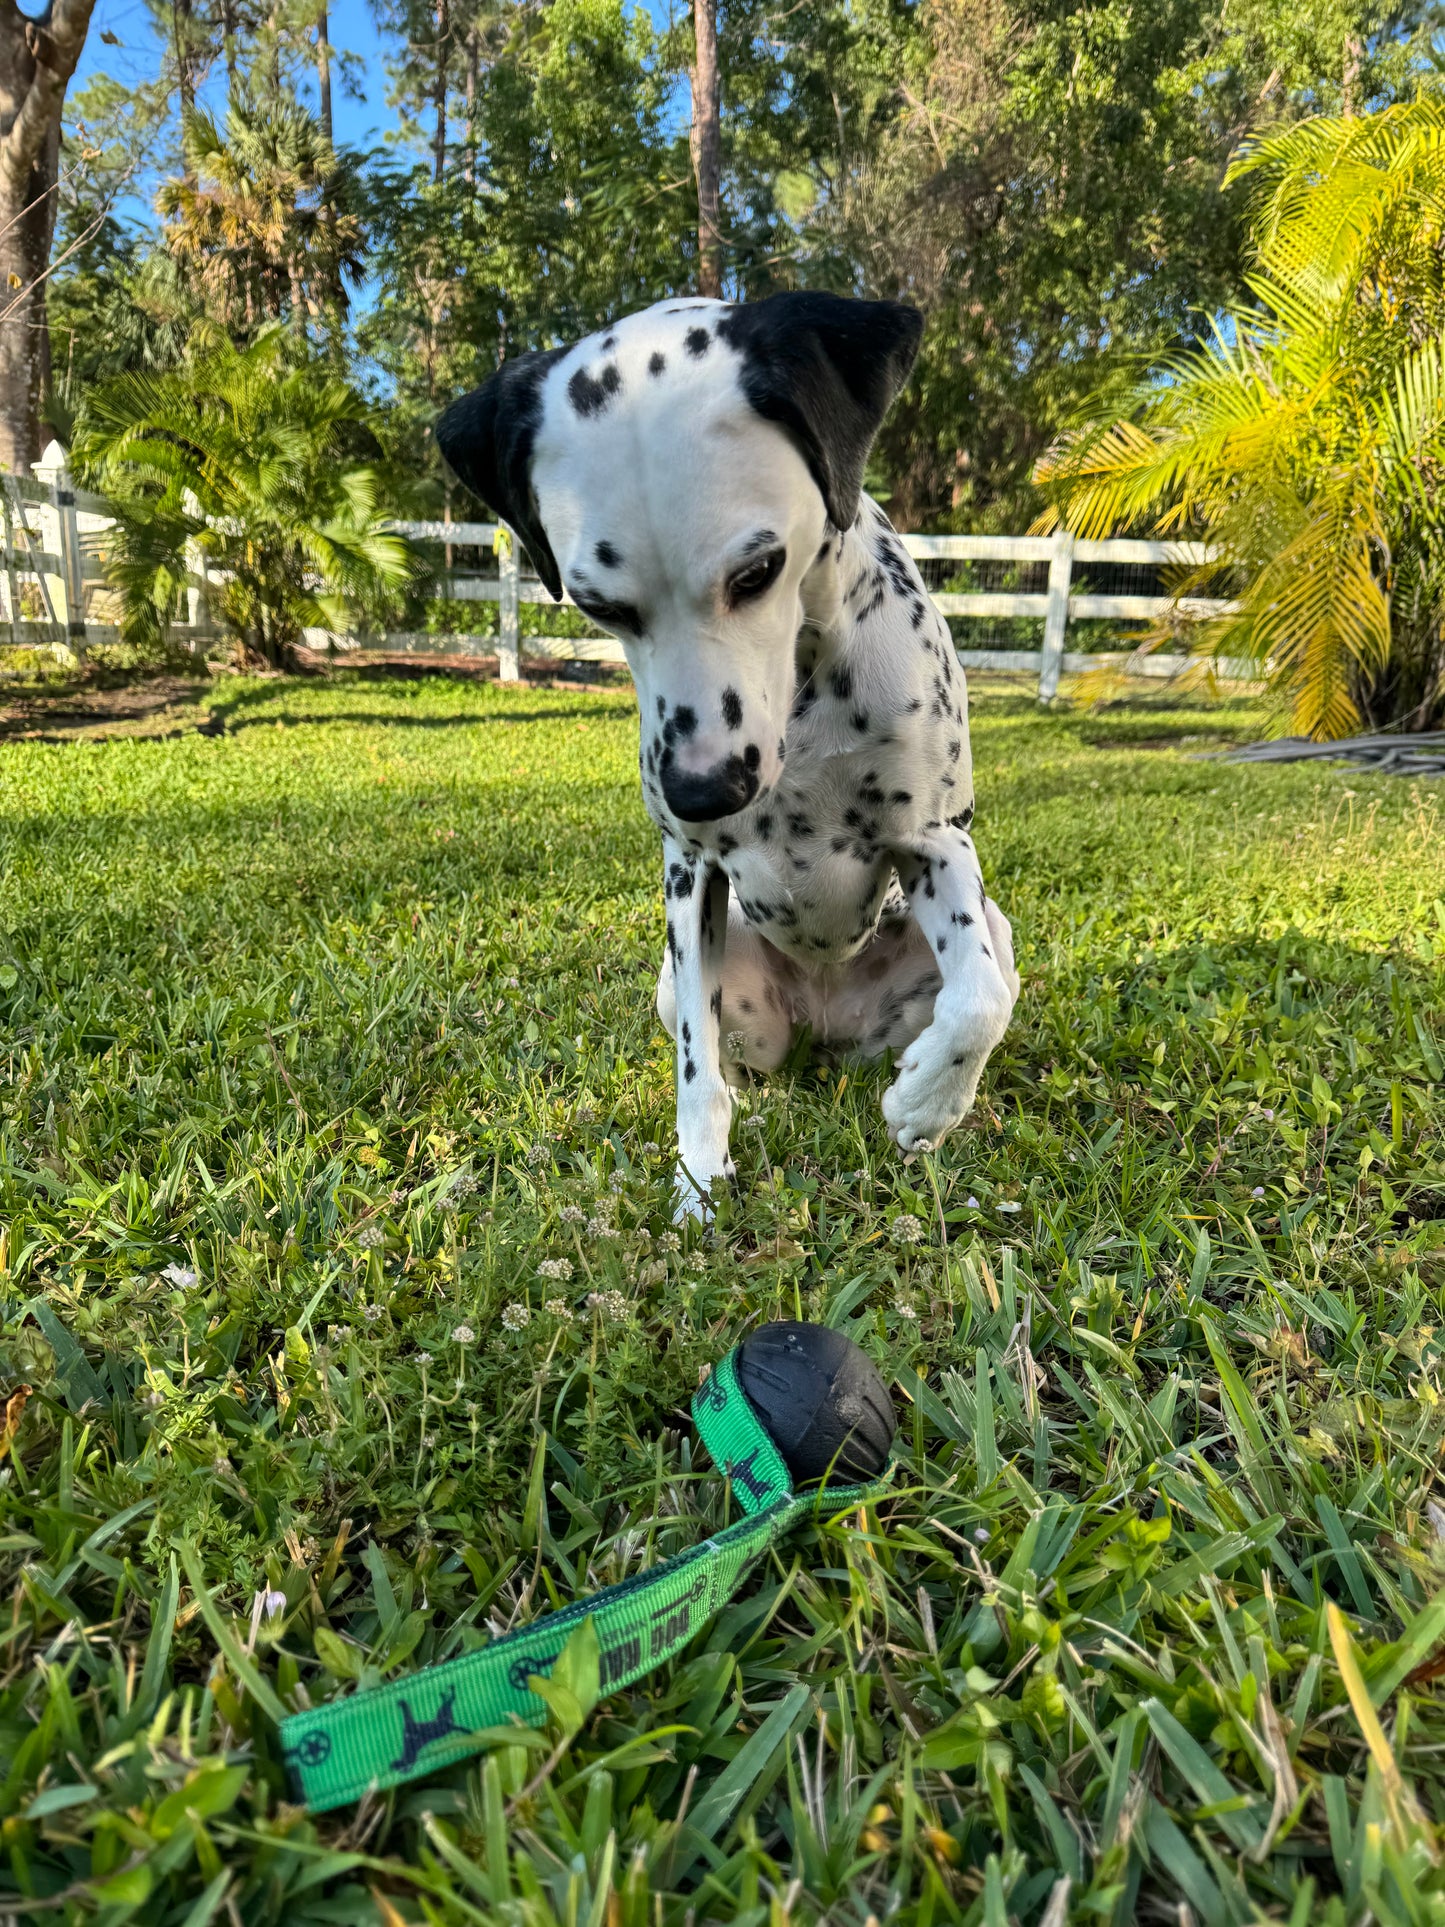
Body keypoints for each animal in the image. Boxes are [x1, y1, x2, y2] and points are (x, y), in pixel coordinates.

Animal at [439, 287, 1017, 1217]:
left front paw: (931, 1099)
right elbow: (695, 1070)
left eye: (757, 571)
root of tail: (822, 1019)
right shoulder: (691, 877)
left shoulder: (934, 840)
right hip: (692, 978)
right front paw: (698, 1179)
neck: (805, 704)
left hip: (982, 927)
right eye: (599, 606)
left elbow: (978, 1001)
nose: (702, 790)